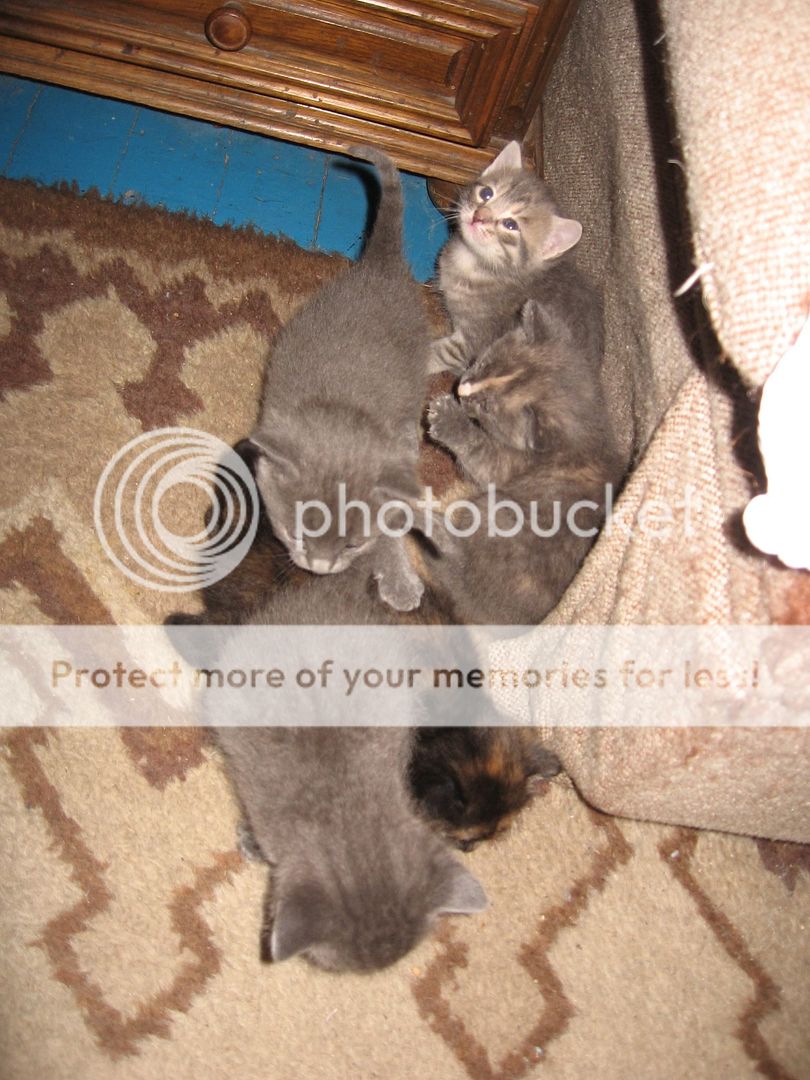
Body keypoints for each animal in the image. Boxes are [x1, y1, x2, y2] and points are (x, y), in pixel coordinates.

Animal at [249, 146, 430, 612]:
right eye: (296, 532)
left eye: (351, 545)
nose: (319, 568)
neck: (341, 408)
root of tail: (380, 266)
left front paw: (397, 578)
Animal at [423, 297, 625, 624]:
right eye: (483, 362)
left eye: (487, 407)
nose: (461, 388)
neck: (588, 428)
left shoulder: (509, 466)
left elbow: (482, 457)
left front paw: (448, 418)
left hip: (494, 512)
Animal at [430, 140, 593, 375]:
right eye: (486, 194)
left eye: (510, 225)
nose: (479, 216)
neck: (475, 263)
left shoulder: (475, 339)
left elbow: (440, 353)